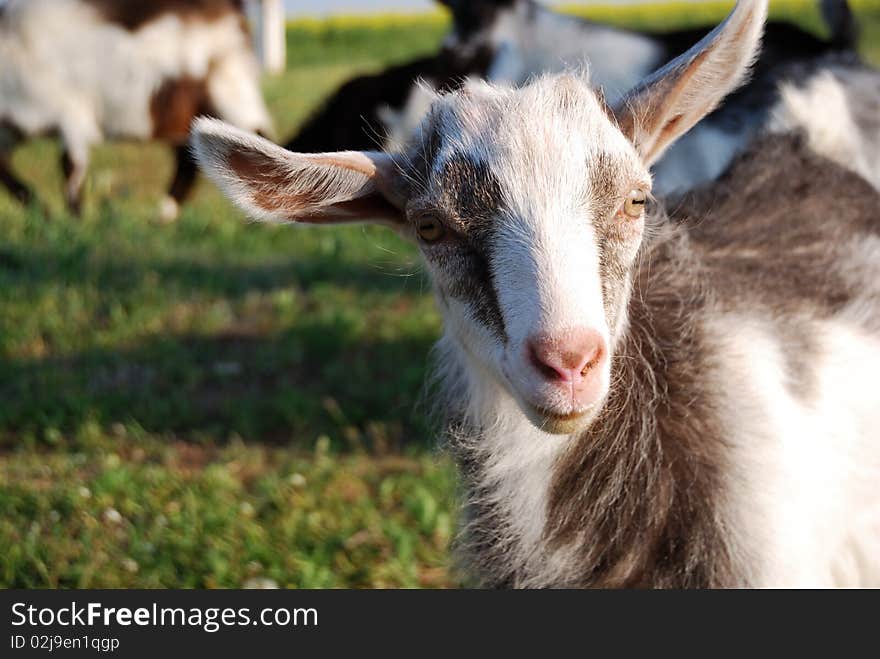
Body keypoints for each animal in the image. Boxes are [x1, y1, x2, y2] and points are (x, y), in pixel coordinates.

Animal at [0, 0, 272, 222]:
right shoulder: (12, 130)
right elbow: (5, 167)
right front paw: (43, 211)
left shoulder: (71, 114)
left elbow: (70, 168)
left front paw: (74, 222)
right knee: (186, 159)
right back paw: (164, 215)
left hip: (228, 89)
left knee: (256, 137)